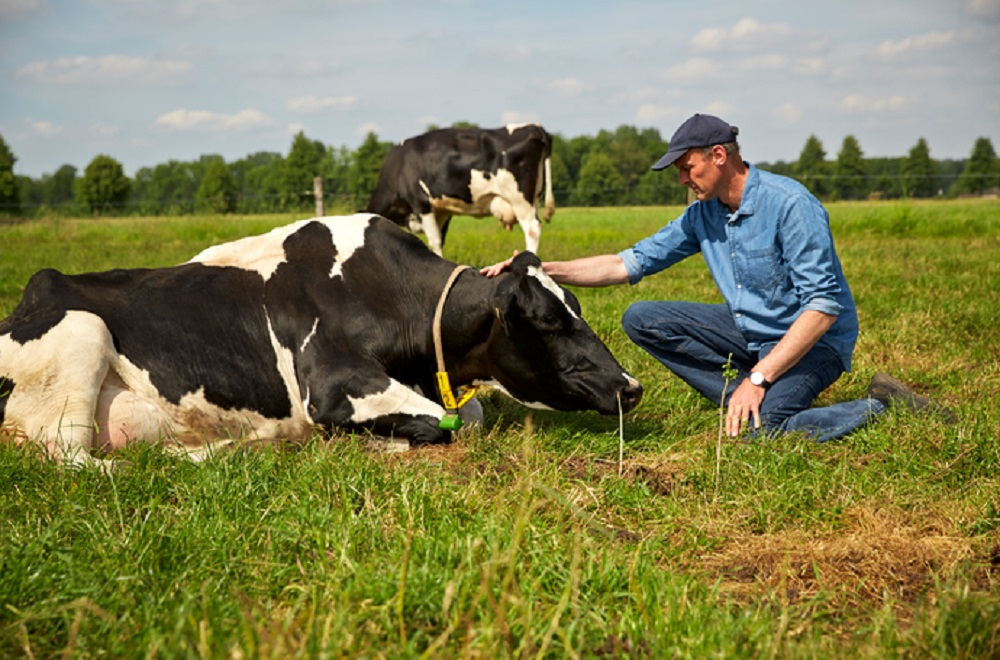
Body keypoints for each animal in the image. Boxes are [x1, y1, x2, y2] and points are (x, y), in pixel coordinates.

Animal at [0, 214, 640, 466]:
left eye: (576, 306)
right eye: (550, 320)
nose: (630, 387)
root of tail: (35, 292)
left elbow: (468, 415)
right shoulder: (333, 385)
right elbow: (442, 422)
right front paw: (379, 444)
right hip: (80, 338)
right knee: (73, 458)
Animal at [366, 122, 556, 256]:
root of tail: (535, 127)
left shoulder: (422, 204)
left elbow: (434, 242)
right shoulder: (442, 211)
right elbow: (439, 241)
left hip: (520, 199)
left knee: (532, 229)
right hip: (534, 198)